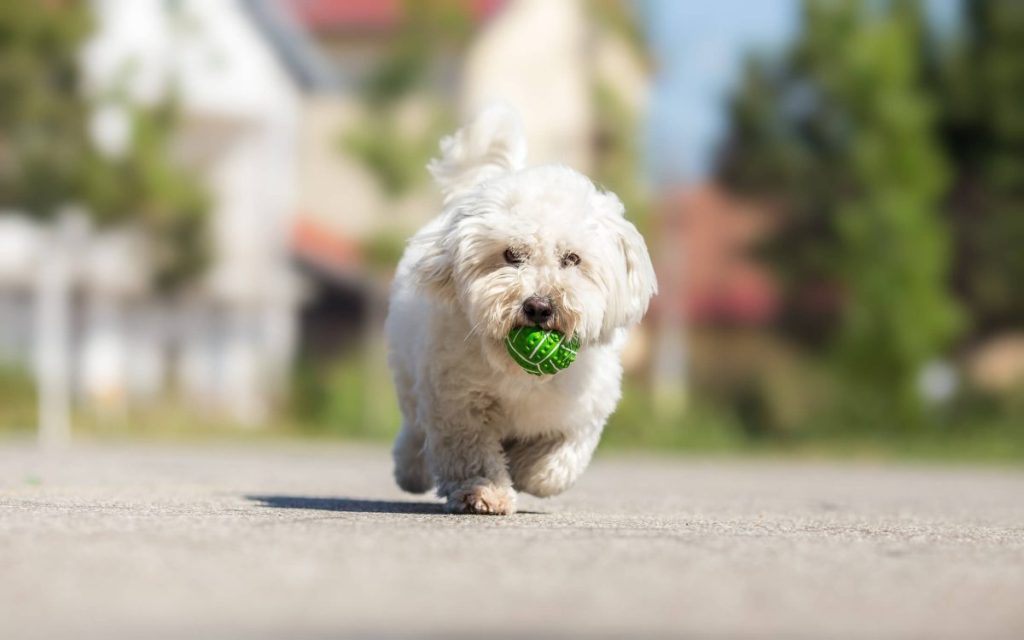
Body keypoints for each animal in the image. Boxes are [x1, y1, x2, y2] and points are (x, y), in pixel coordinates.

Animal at [385, 105, 655, 514]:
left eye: (572, 258)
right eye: (512, 255)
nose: (539, 306)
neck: (522, 378)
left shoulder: (584, 410)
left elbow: (555, 465)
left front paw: (528, 469)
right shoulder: (457, 402)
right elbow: (471, 453)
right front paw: (484, 491)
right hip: (410, 376)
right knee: (414, 429)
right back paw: (411, 472)